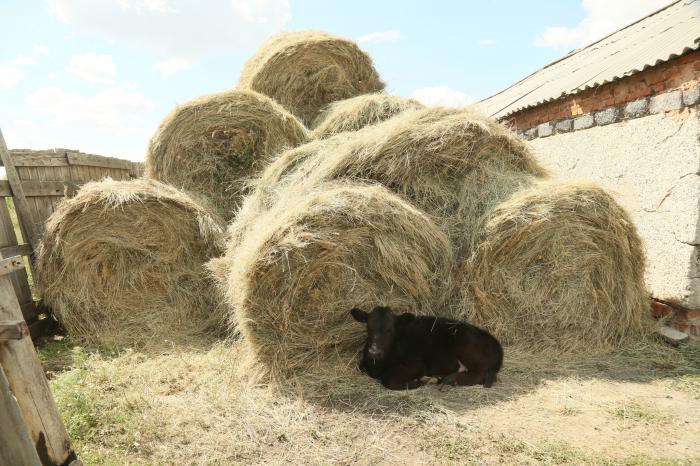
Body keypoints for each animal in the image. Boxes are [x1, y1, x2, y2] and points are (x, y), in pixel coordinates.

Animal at [350, 306, 504, 390]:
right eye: (368, 327)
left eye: (390, 330)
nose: (374, 352)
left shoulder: (416, 364)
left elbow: (388, 379)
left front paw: (416, 382)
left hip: (468, 349)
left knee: (480, 374)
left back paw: (449, 379)